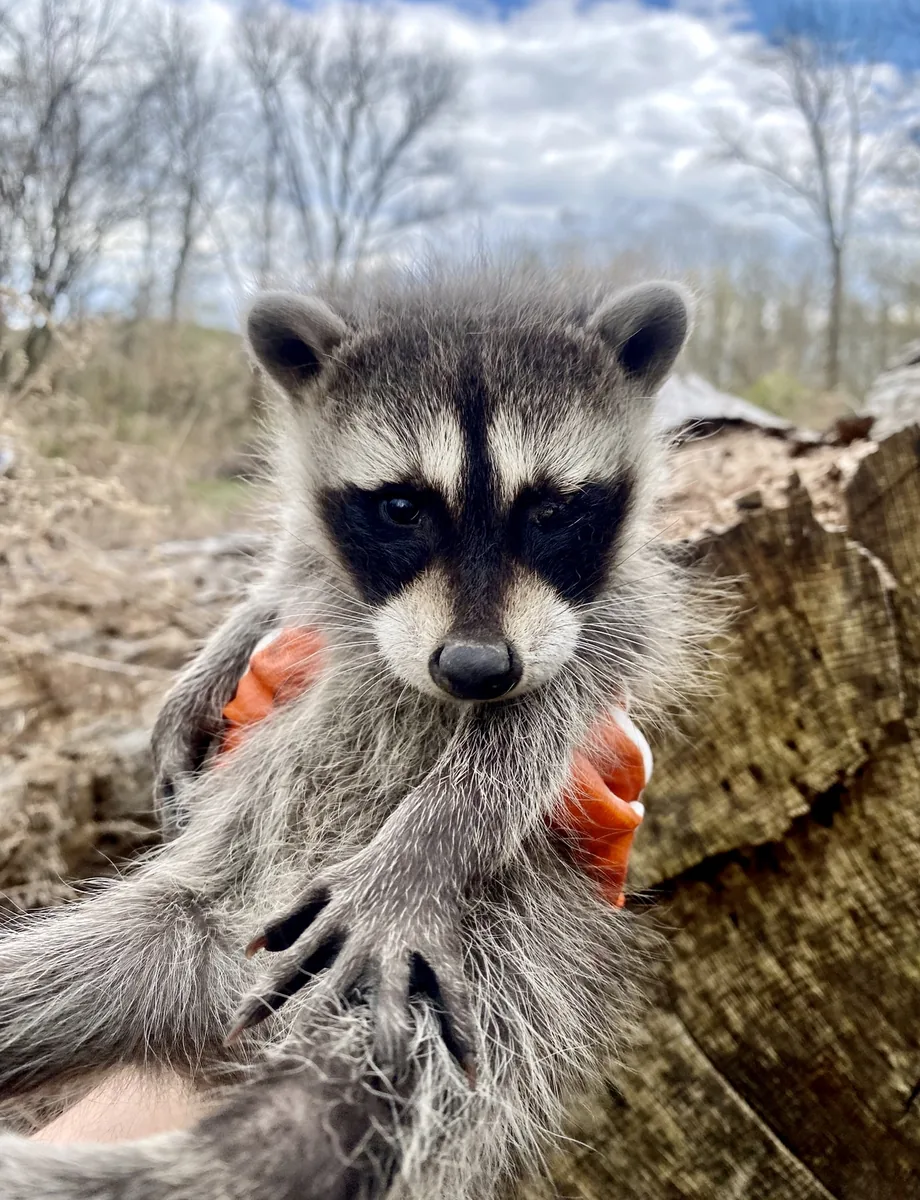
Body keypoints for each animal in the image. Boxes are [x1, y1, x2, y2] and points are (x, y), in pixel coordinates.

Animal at [0, 267, 701, 1200]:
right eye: (401, 506)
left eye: (552, 510)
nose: (476, 668)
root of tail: (222, 994)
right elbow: (286, 582)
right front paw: (222, 649)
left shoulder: (613, 624)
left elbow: (533, 730)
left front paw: (428, 837)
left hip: (477, 959)